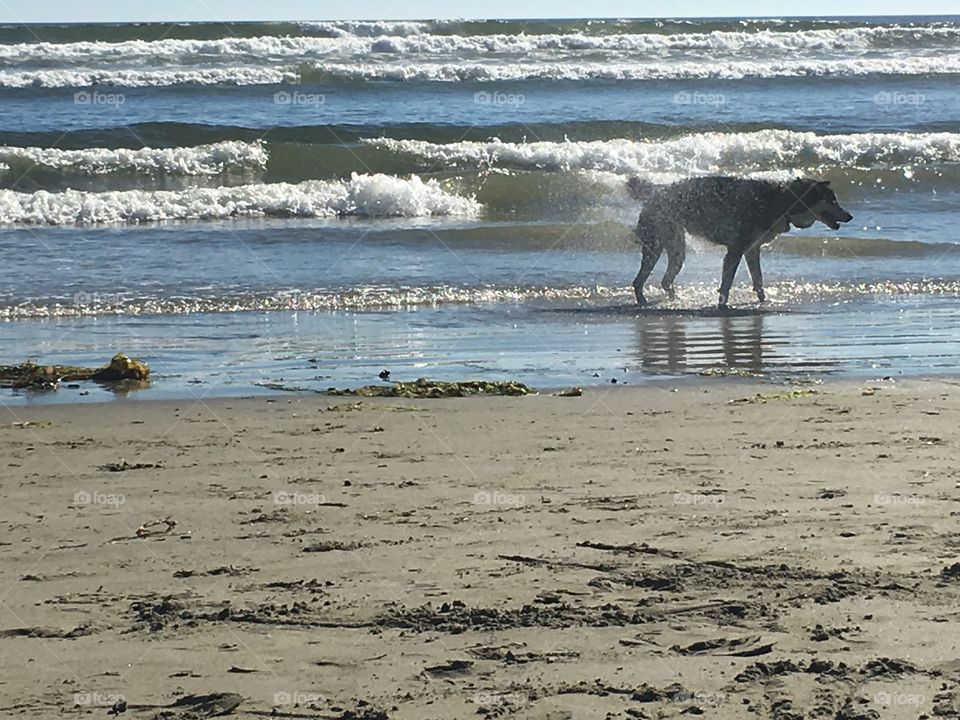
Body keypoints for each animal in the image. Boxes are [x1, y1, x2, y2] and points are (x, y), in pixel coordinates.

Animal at [632, 179, 856, 308]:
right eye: (832, 200)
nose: (850, 216)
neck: (783, 201)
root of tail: (653, 195)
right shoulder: (735, 250)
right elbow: (727, 284)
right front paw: (722, 306)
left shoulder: (751, 249)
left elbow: (758, 280)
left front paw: (764, 302)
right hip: (657, 247)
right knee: (639, 281)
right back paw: (643, 303)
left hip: (676, 249)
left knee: (665, 280)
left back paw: (673, 300)